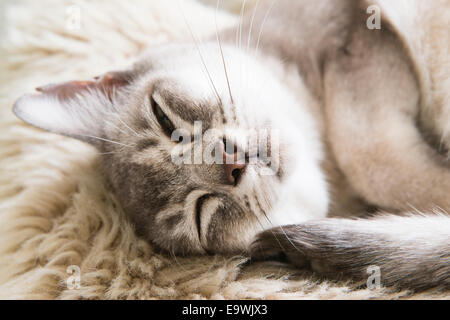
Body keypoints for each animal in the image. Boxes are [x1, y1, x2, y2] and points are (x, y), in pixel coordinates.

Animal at [11, 0, 450, 290]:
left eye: (164, 118)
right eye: (202, 213)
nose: (230, 163)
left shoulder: (354, 27)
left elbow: (368, 153)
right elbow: (375, 163)